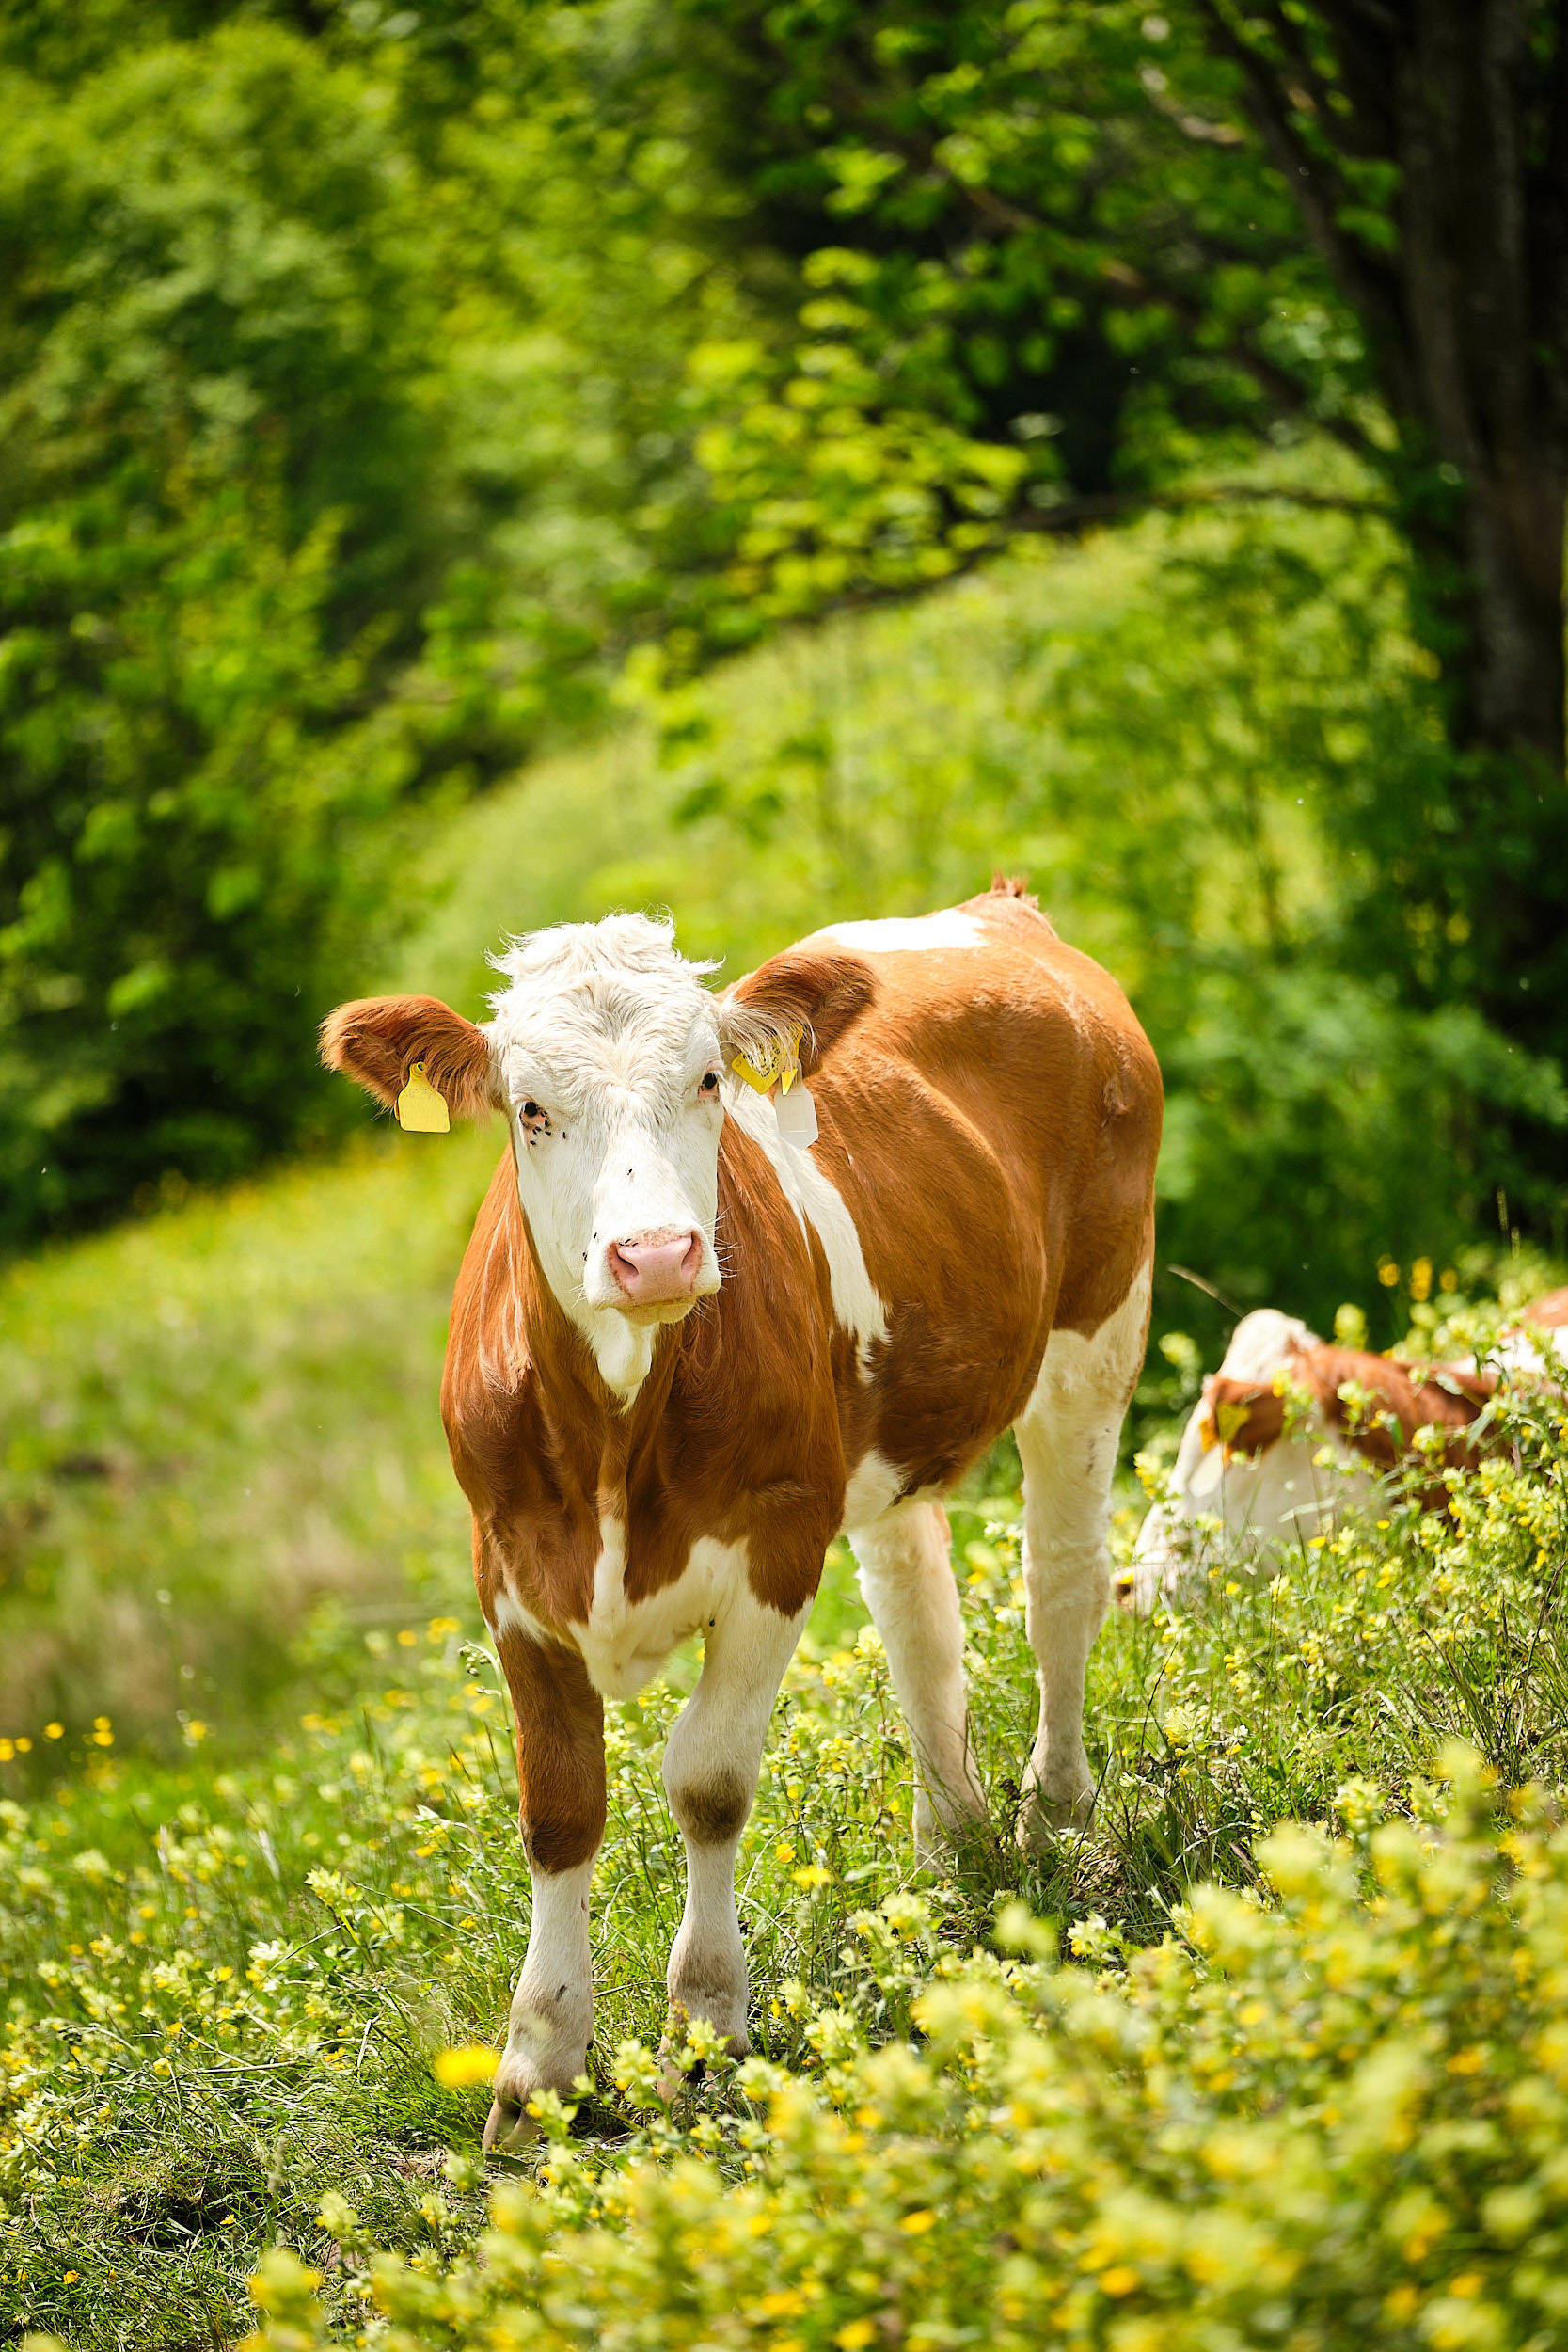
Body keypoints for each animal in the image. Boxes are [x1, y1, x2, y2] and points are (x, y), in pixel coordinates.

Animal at [321, 881, 1162, 2149]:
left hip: (1095, 1333)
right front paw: (537, 2070)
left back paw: (1051, 1817)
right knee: (920, 1619)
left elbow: (707, 1783)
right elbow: (558, 1810)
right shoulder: (508, 1575)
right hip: (885, 1439)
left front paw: (705, 2031)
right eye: (529, 1107)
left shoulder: (777, 1538)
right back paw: (949, 1845)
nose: (656, 1252)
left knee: (1057, 1584)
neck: (615, 1437)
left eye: (708, 1079)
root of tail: (997, 911)